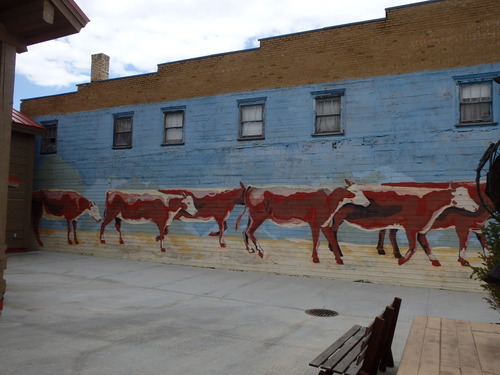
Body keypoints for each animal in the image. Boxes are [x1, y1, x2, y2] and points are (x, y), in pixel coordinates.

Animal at [238, 185, 372, 264]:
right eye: (354, 191)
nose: (368, 202)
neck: (329, 200)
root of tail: (254, 188)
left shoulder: (324, 223)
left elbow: (331, 240)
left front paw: (338, 259)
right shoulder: (315, 223)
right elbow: (316, 240)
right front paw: (316, 259)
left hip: (252, 217)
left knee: (244, 231)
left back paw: (250, 249)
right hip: (258, 216)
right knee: (250, 231)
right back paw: (260, 251)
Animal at [330, 182, 478, 268]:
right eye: (460, 195)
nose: (476, 207)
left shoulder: (422, 229)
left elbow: (426, 246)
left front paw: (435, 261)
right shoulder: (410, 228)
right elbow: (413, 248)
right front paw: (401, 261)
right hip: (339, 216)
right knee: (333, 229)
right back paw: (337, 251)